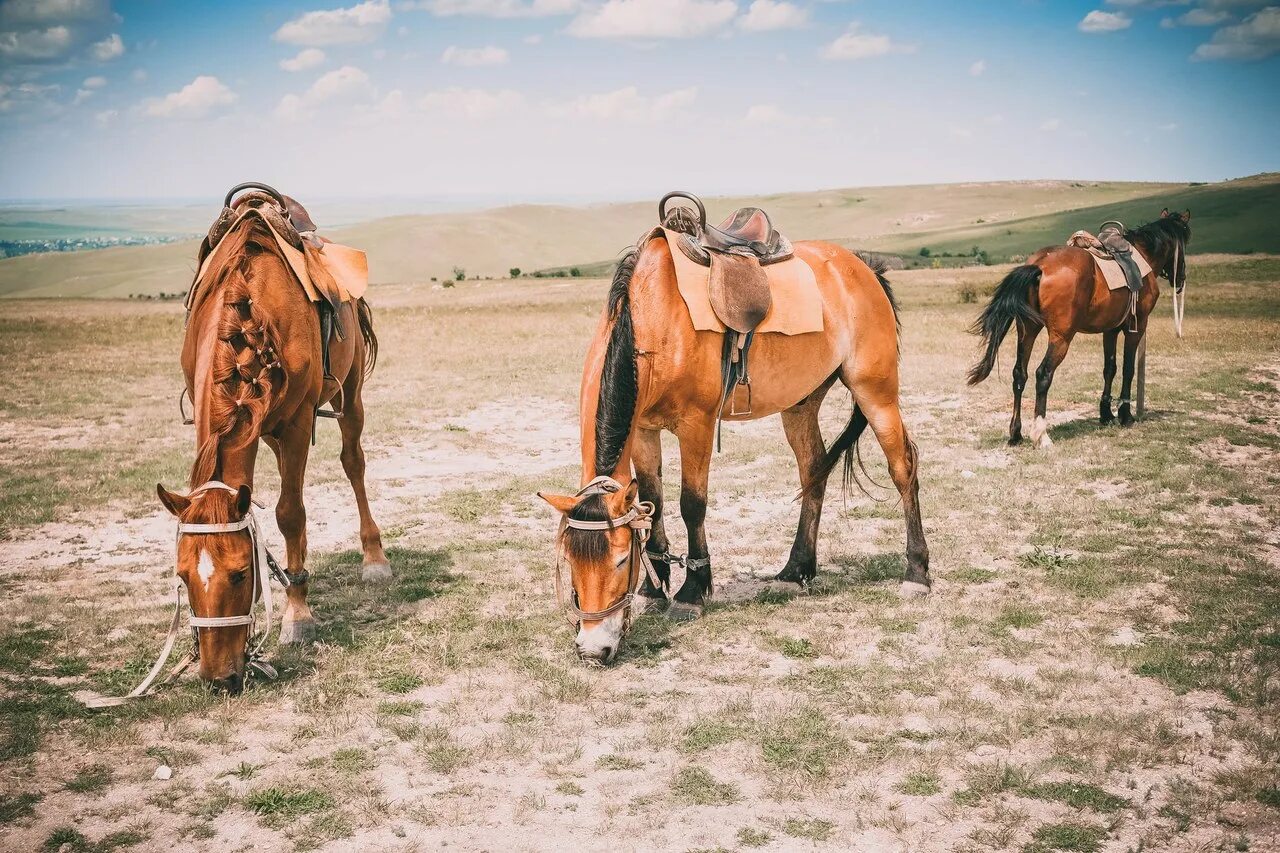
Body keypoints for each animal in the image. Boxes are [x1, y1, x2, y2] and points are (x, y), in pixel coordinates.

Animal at [154, 188, 386, 691]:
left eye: (242, 575)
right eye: (182, 576)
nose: (218, 678)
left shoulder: (297, 422)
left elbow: (289, 513)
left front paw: (297, 614)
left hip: (350, 393)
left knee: (352, 461)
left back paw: (374, 558)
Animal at [537, 220, 931, 666]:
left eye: (621, 561)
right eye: (569, 559)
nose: (593, 648)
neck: (654, 318)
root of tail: (864, 267)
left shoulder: (696, 426)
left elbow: (691, 505)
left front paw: (692, 592)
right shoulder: (644, 431)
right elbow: (653, 503)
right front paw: (654, 588)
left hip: (875, 393)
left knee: (903, 468)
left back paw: (917, 573)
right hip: (800, 405)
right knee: (813, 472)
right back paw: (796, 570)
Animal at [967, 207, 1187, 445]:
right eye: (1185, 241)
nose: (1180, 279)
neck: (1142, 257)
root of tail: (1039, 265)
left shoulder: (1110, 330)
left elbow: (1109, 368)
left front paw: (1106, 414)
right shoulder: (1136, 327)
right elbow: (1128, 369)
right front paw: (1126, 415)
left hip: (1027, 330)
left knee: (1019, 374)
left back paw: (1016, 433)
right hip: (1061, 337)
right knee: (1043, 374)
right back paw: (1041, 434)